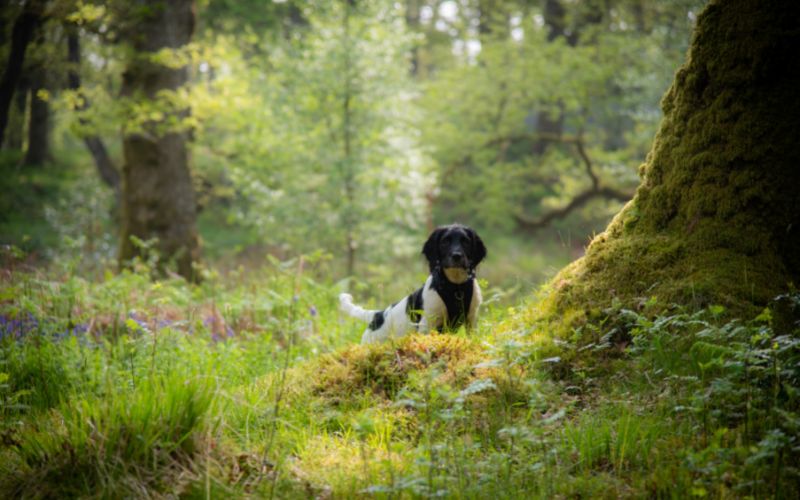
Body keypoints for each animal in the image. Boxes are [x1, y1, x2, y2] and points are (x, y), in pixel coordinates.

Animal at [340, 224, 488, 344]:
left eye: (466, 242)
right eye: (445, 241)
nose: (456, 256)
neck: (456, 286)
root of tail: (378, 315)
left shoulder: (471, 319)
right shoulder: (427, 323)